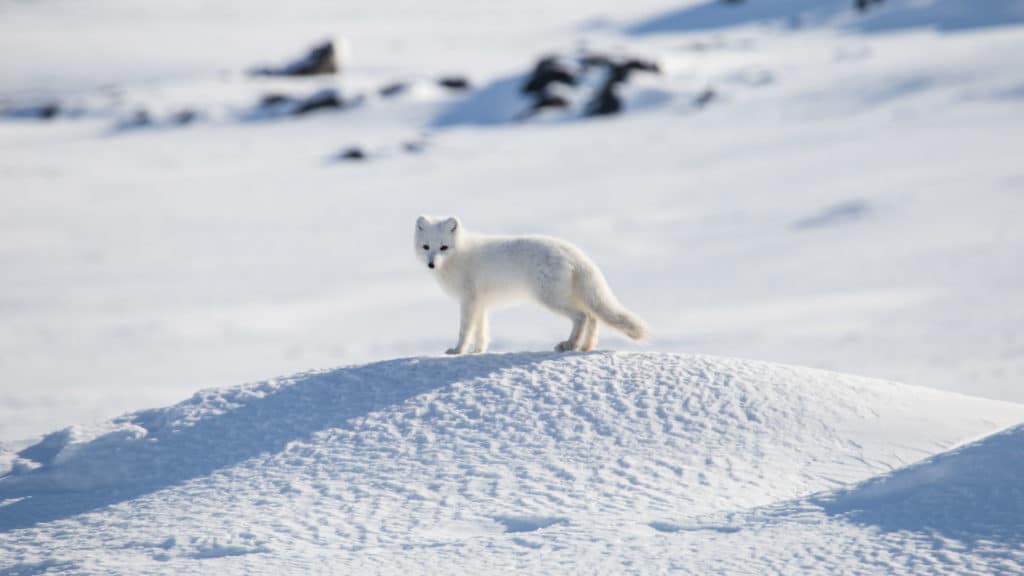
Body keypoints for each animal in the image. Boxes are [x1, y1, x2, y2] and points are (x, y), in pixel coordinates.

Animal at [414, 215, 648, 355]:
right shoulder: (480, 303)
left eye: (444, 247)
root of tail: (573, 252)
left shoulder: (468, 301)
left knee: (581, 316)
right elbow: (481, 331)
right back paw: (586, 347)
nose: (431, 264)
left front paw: (458, 351)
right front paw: (478, 351)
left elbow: (465, 330)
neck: (459, 255)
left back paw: (569, 344)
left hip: (549, 298)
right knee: (592, 317)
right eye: (426, 246)